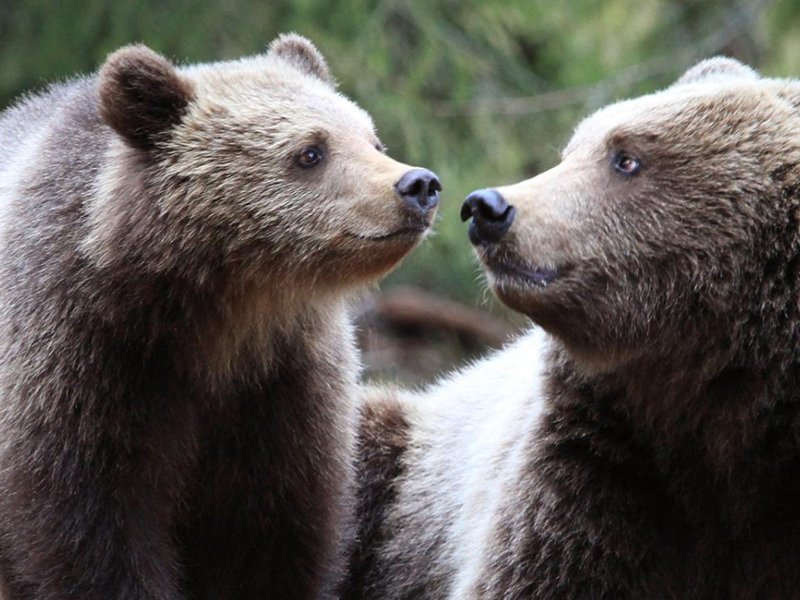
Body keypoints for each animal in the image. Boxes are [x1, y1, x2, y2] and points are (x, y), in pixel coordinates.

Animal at [0, 34, 440, 599]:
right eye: (311, 152)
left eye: (373, 140)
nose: (418, 185)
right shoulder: (82, 356)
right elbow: (92, 530)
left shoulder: (281, 386)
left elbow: (272, 532)